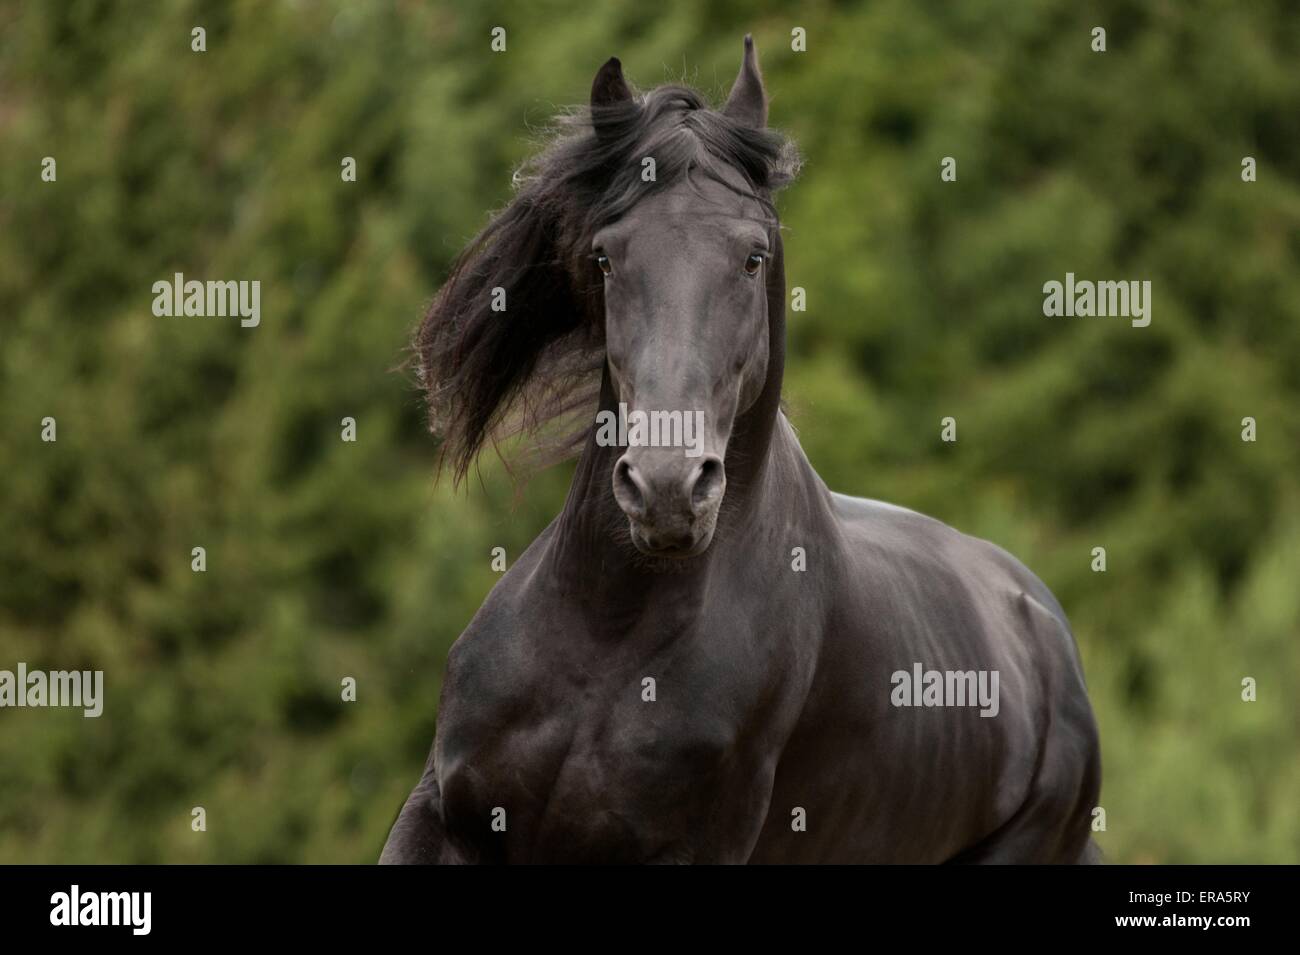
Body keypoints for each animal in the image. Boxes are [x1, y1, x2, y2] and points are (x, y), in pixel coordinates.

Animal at [382, 37, 1097, 867]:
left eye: (753, 258)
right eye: (605, 256)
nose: (666, 489)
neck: (608, 635)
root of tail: (1044, 627)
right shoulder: (444, 814)